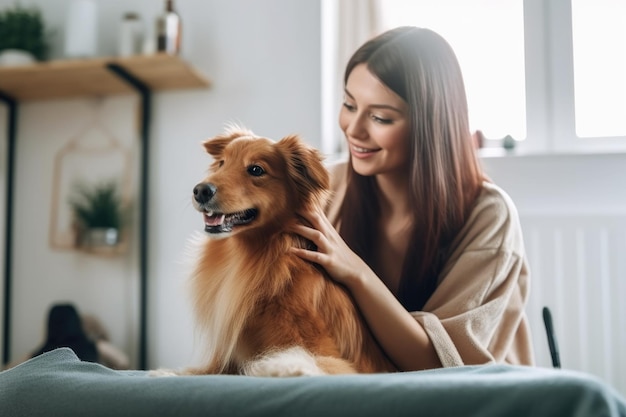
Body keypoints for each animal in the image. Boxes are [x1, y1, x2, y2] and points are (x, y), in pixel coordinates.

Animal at [182, 125, 394, 376]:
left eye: (256, 169)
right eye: (221, 164)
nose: (200, 190)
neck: (255, 257)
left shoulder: (331, 355)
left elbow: (298, 358)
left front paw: (274, 366)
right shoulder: (225, 359)